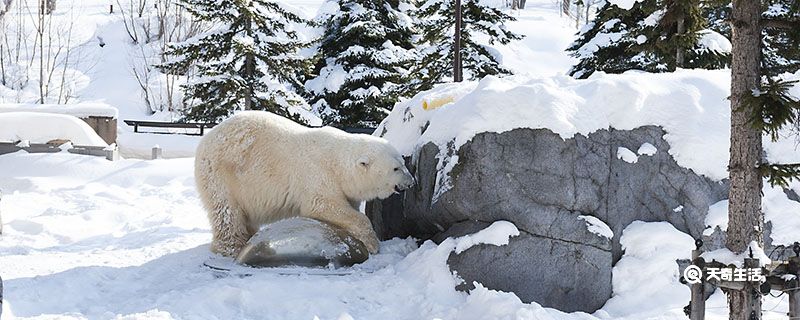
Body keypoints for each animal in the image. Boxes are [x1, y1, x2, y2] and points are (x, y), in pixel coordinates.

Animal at [195, 111, 412, 256]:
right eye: (396, 168)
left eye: (403, 163)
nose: (411, 182)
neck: (337, 162)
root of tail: (205, 139)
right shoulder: (317, 175)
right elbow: (322, 205)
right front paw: (373, 244)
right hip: (221, 175)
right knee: (227, 213)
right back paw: (231, 247)